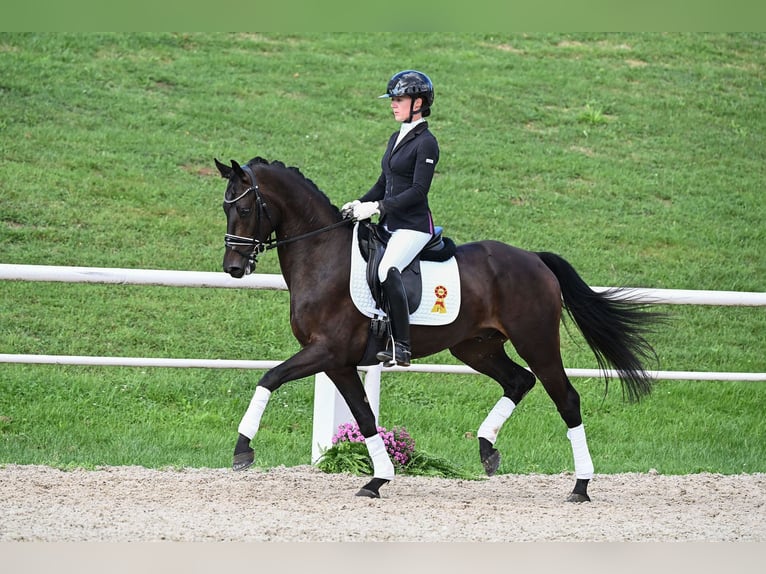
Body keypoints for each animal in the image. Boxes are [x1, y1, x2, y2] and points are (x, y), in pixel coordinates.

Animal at [213, 155, 664, 502]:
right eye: (225, 208)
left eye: (247, 209)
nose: (234, 268)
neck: (324, 257)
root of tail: (534, 259)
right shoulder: (337, 362)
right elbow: (364, 417)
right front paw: (378, 480)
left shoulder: (326, 351)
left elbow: (269, 378)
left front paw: (242, 449)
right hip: (476, 347)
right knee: (518, 381)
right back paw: (487, 449)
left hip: (535, 341)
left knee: (565, 398)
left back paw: (581, 486)